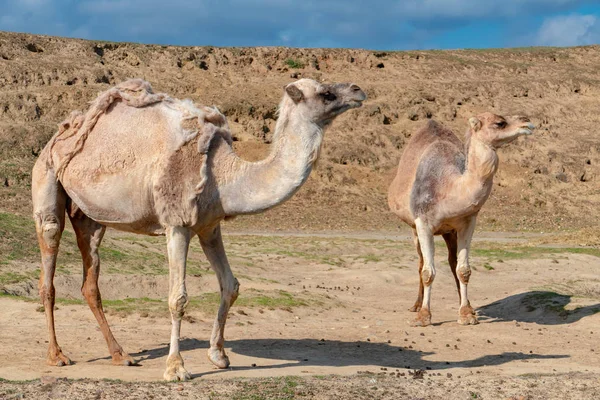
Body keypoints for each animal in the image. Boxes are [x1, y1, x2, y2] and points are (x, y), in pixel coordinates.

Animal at [32, 78, 366, 382]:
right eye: (326, 93)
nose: (358, 90)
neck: (225, 176)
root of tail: (60, 134)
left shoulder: (209, 227)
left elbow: (231, 285)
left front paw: (218, 356)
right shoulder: (177, 224)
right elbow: (177, 298)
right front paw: (176, 369)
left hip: (91, 216)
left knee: (90, 277)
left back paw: (121, 355)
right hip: (46, 179)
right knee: (49, 259)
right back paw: (56, 355)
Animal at [390, 112, 536, 328]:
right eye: (500, 123)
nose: (526, 122)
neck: (449, 187)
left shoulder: (467, 222)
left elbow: (464, 269)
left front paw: (467, 314)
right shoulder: (423, 223)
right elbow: (427, 272)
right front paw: (423, 316)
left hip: (448, 231)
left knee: (452, 262)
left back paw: (467, 305)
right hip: (413, 228)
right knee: (420, 262)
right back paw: (416, 305)